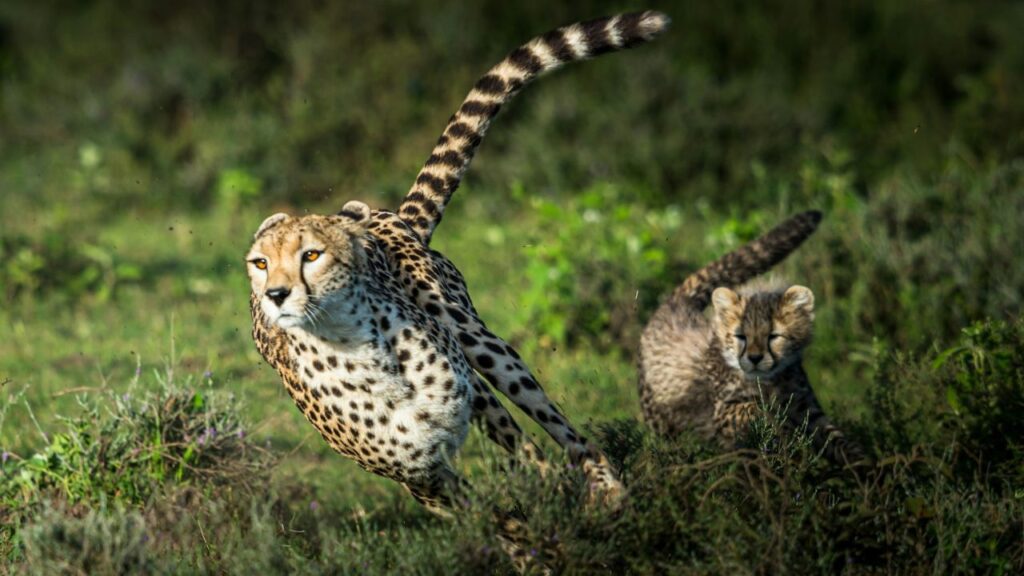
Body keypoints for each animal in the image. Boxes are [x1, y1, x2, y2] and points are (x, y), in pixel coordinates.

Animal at [247, 10, 669, 541]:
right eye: (260, 263)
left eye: (311, 255)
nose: (276, 294)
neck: (356, 351)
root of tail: (387, 215)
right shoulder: (421, 477)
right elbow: (495, 520)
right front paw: (533, 543)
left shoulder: (471, 401)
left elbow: (531, 464)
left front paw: (560, 515)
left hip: (478, 342)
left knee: (559, 428)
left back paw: (606, 489)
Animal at [638, 210, 866, 466]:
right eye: (740, 336)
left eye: (773, 336)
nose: (755, 358)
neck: (770, 381)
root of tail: (677, 303)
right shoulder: (721, 412)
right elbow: (755, 410)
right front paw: (782, 433)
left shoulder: (806, 409)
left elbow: (837, 439)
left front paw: (866, 465)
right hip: (661, 422)